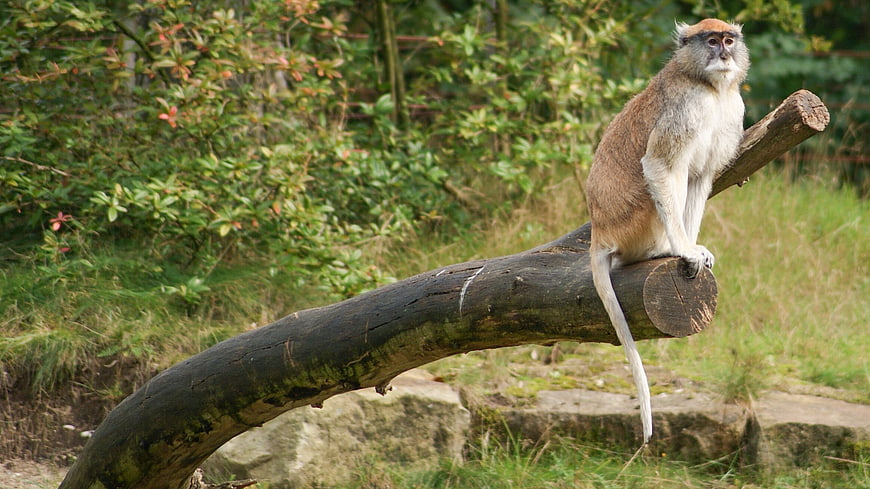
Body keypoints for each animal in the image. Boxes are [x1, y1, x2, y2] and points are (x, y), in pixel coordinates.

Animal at [586, 19, 750, 445]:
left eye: (729, 39)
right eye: (711, 40)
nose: (724, 53)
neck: (711, 88)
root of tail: (599, 230)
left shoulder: (732, 110)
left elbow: (701, 175)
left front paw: (696, 247)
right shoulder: (686, 109)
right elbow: (661, 166)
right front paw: (684, 249)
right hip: (634, 220)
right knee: (666, 176)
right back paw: (659, 250)